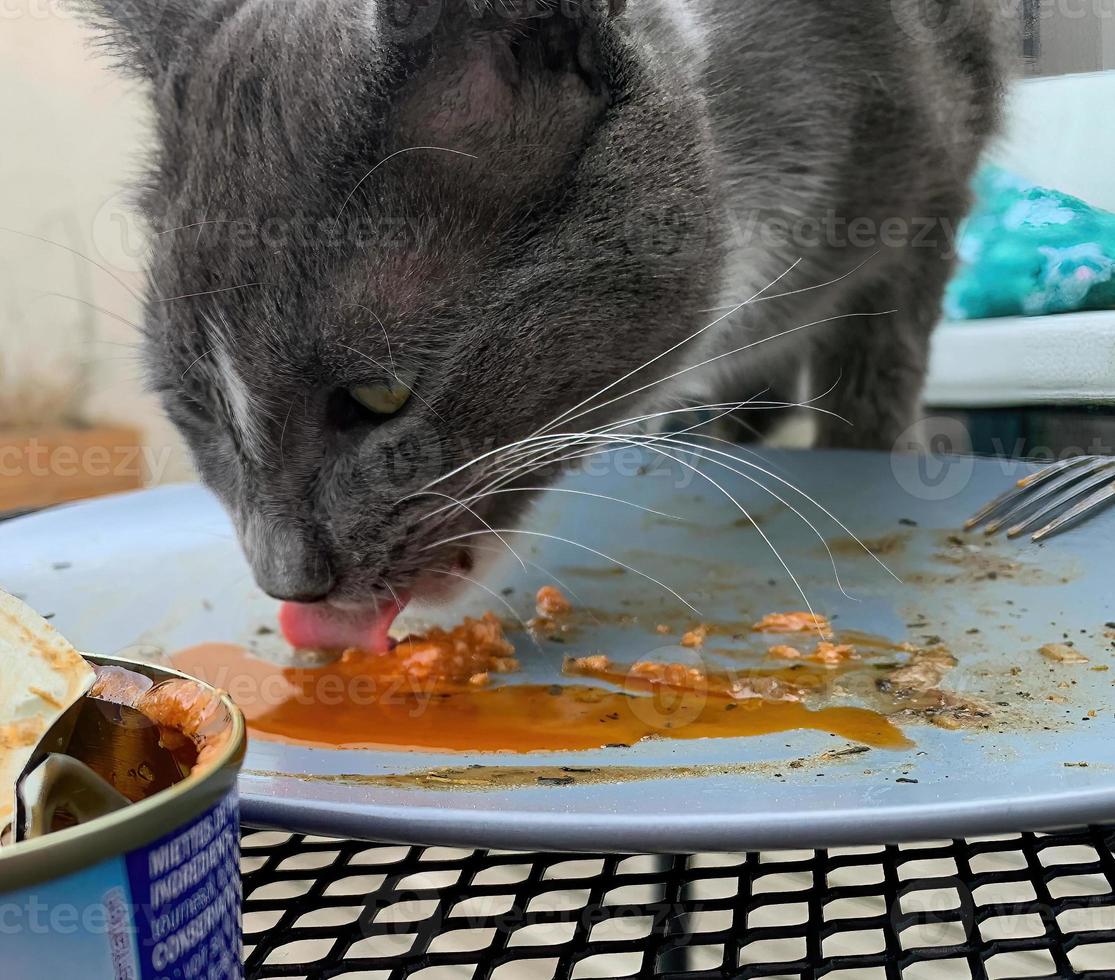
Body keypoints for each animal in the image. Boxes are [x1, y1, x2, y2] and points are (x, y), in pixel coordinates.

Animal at [84, 0, 1012, 651]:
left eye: (378, 396)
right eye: (198, 409)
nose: (289, 584)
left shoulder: (935, 169)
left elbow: (885, 345)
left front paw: (865, 455)